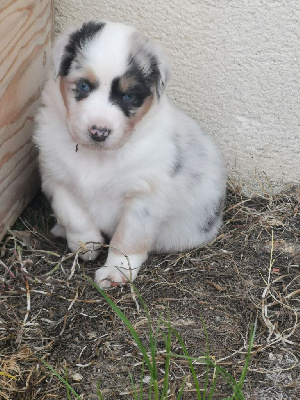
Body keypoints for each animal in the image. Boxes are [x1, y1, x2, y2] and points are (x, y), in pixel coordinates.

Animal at [34, 21, 226, 288]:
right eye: (83, 86)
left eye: (129, 96)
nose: (99, 131)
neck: (97, 156)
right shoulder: (56, 176)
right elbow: (72, 214)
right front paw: (86, 244)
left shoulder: (144, 196)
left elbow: (128, 238)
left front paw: (116, 272)